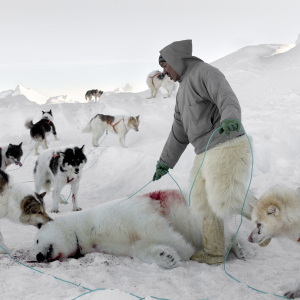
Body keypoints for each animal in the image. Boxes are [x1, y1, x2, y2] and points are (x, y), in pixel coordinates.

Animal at [34, 189, 246, 268]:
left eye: (36, 240)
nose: (38, 255)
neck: (86, 229)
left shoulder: (125, 213)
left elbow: (153, 226)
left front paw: (183, 249)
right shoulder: (114, 245)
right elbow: (140, 247)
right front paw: (167, 256)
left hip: (187, 212)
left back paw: (236, 248)